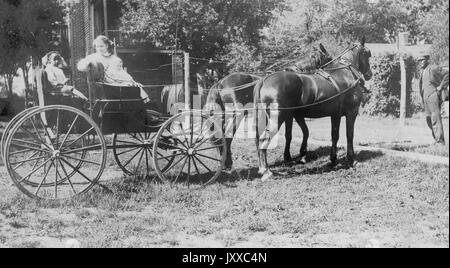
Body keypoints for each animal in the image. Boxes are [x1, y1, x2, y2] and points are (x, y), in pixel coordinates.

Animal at [202, 44, 332, 169]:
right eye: (329, 58)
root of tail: (220, 83)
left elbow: (300, 132)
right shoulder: (291, 115)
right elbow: (291, 134)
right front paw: (289, 157)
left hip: (227, 115)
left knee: (221, 135)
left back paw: (224, 161)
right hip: (237, 115)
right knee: (228, 136)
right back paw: (228, 163)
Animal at [253, 37, 372, 180]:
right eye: (368, 54)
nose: (369, 74)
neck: (345, 74)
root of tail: (264, 79)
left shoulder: (335, 115)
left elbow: (334, 135)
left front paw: (333, 159)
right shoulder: (351, 112)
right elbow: (349, 135)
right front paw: (352, 160)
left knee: (258, 138)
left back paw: (262, 168)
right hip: (278, 117)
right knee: (264, 138)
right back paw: (266, 171)